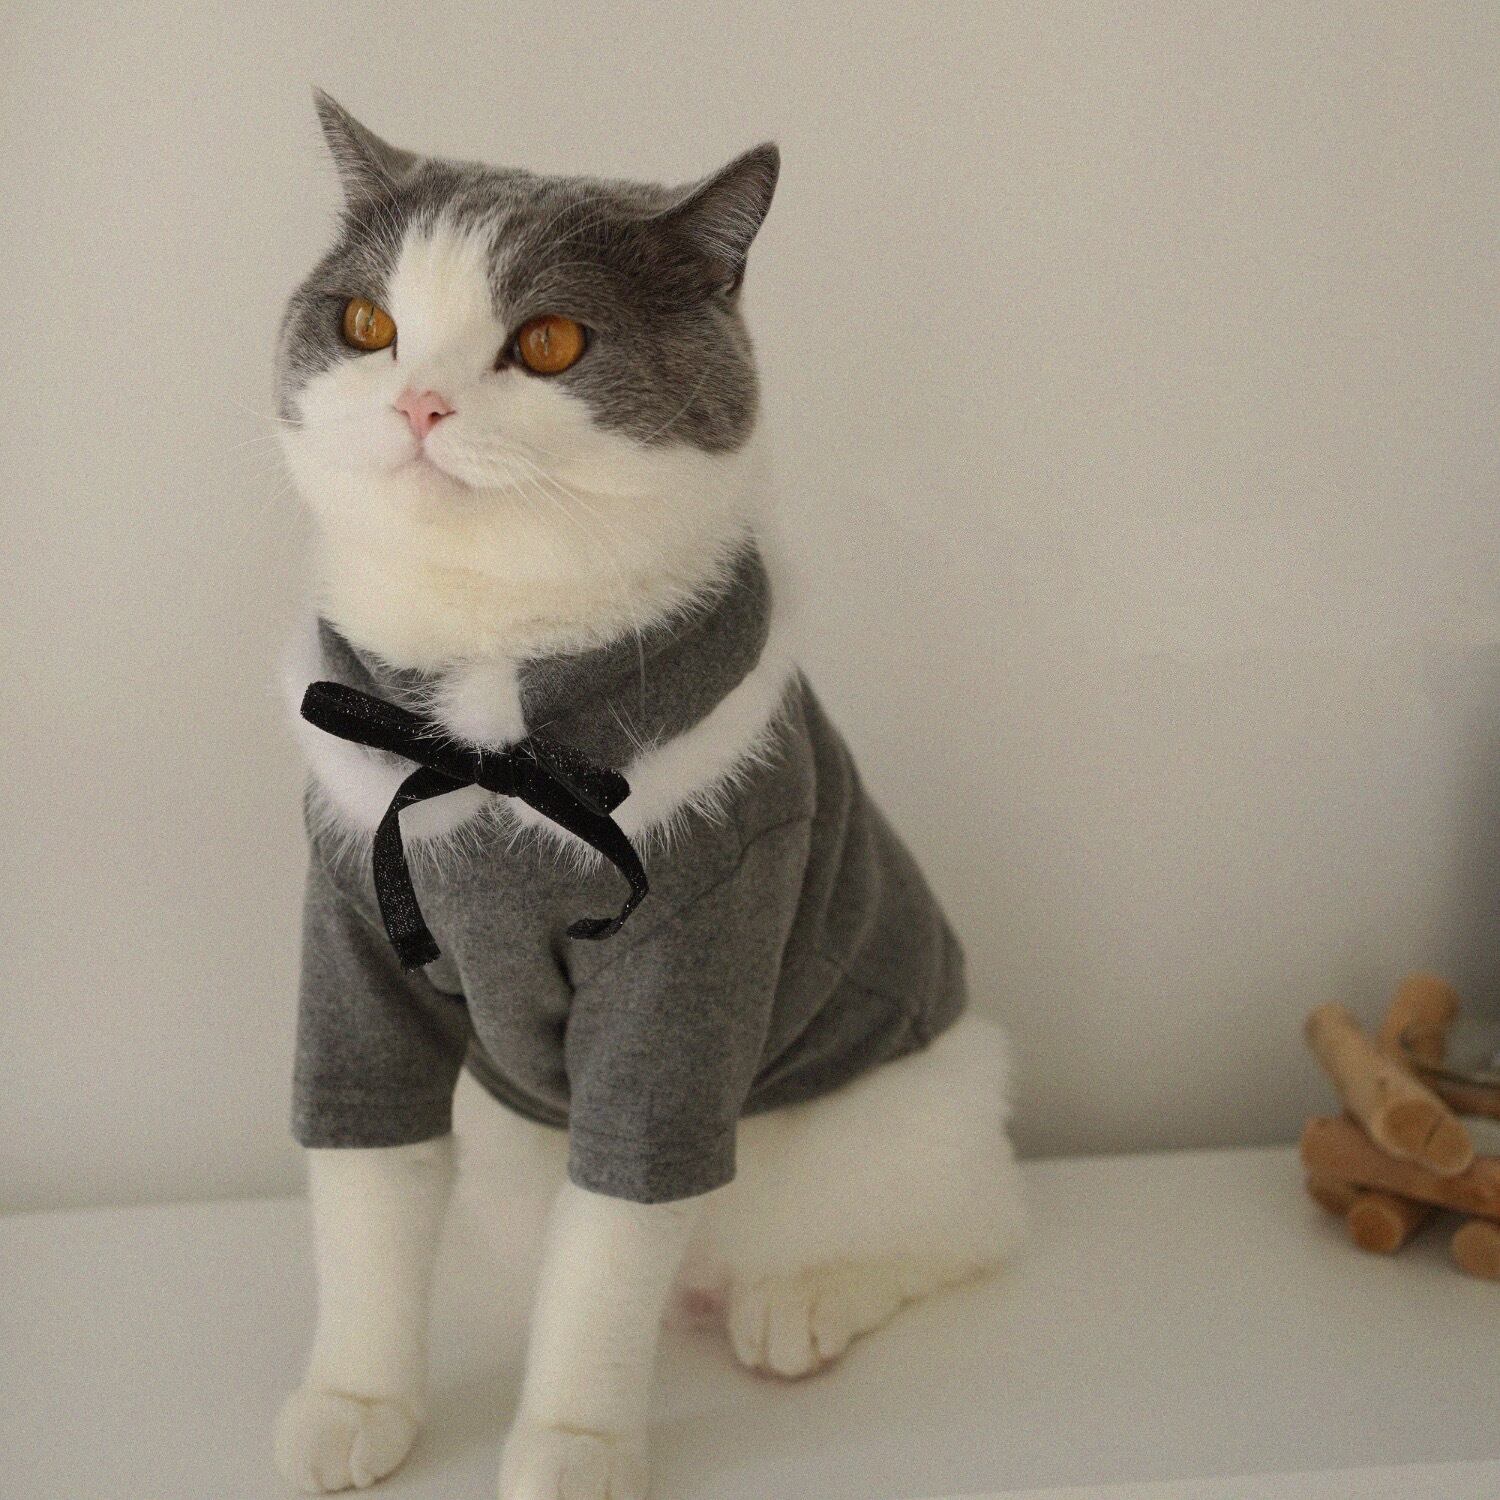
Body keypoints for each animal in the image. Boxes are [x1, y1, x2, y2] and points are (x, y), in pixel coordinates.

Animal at [272, 91, 1025, 1500]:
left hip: (896, 1115)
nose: (420, 403)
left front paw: (573, 1439)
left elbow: (616, 1230)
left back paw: (803, 1301)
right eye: (368, 326)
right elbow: (368, 1183)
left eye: (548, 342)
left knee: (969, 1226)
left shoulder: (691, 958)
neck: (485, 709)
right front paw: (355, 1397)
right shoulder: (354, 928)